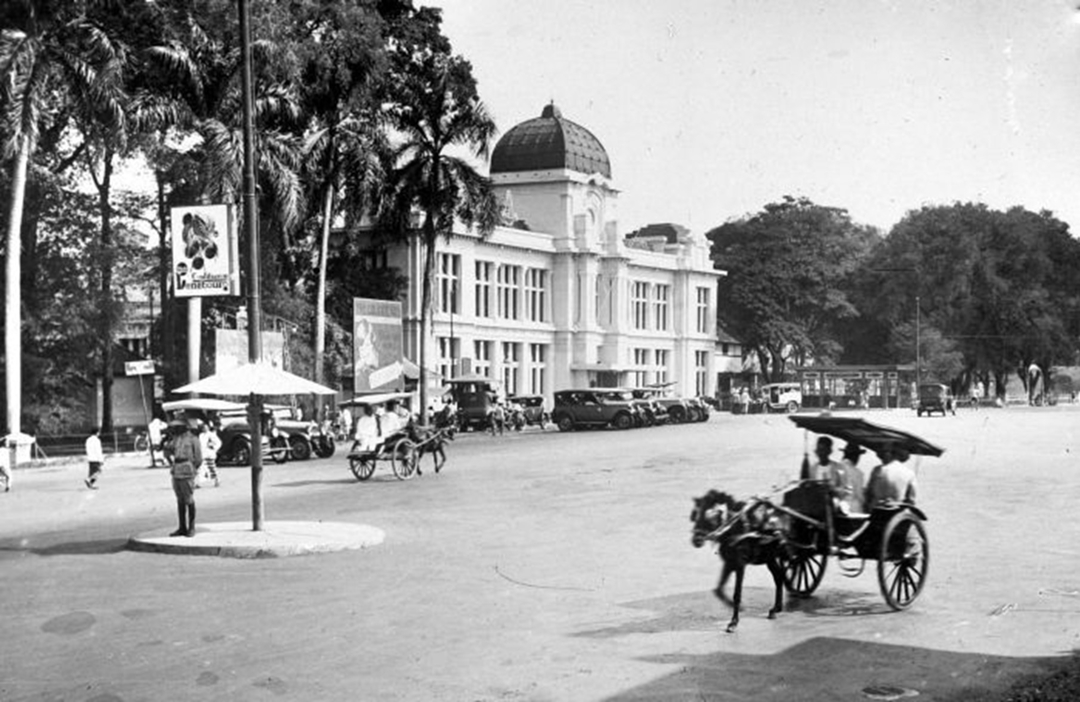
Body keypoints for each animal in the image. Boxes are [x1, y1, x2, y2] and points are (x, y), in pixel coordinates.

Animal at [691, 490, 786, 630]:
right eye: (695, 514)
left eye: (710, 516)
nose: (696, 540)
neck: (735, 530)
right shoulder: (729, 563)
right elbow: (718, 589)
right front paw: (737, 609)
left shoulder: (740, 564)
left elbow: (737, 593)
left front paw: (733, 622)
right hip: (770, 558)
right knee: (778, 577)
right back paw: (775, 609)